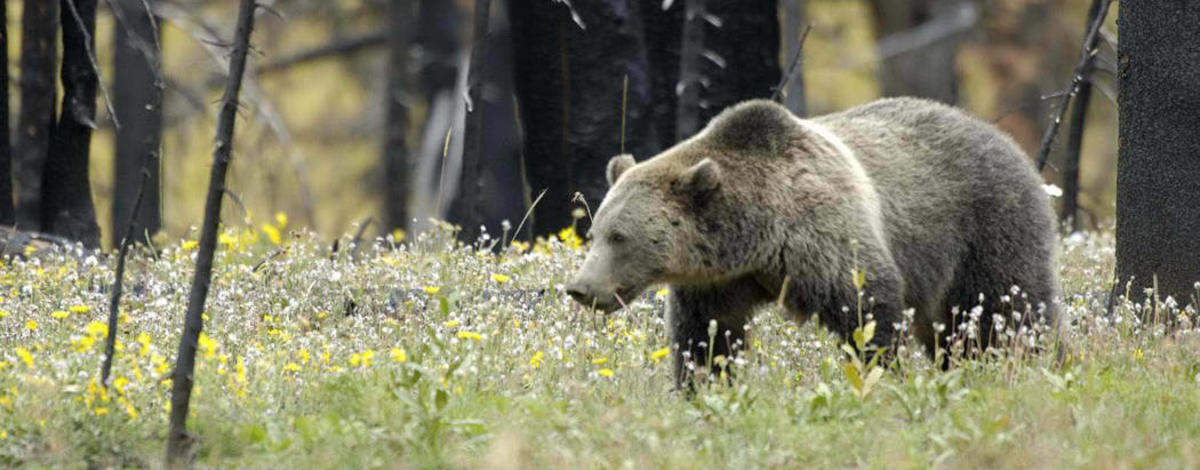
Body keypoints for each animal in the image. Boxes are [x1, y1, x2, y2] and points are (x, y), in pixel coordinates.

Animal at [564, 97, 1060, 383]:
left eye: (620, 236)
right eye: (594, 232)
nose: (581, 288)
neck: (756, 237)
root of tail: (1004, 138)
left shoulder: (823, 238)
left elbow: (868, 310)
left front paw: (883, 376)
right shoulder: (719, 282)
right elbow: (707, 337)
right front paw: (704, 386)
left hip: (986, 226)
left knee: (1007, 311)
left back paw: (1038, 365)